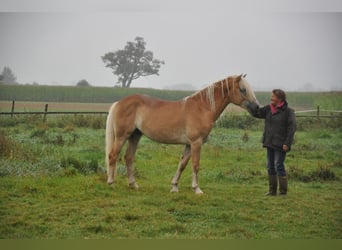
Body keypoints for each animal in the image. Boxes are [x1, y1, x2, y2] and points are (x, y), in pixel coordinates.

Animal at [105, 73, 260, 194]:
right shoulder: (196, 143)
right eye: (243, 89)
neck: (202, 108)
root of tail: (119, 103)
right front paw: (197, 189)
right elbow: (195, 164)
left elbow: (182, 164)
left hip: (135, 136)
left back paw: (133, 185)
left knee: (128, 157)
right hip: (122, 136)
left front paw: (174, 187)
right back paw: (111, 183)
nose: (257, 109)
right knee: (113, 156)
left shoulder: (189, 144)